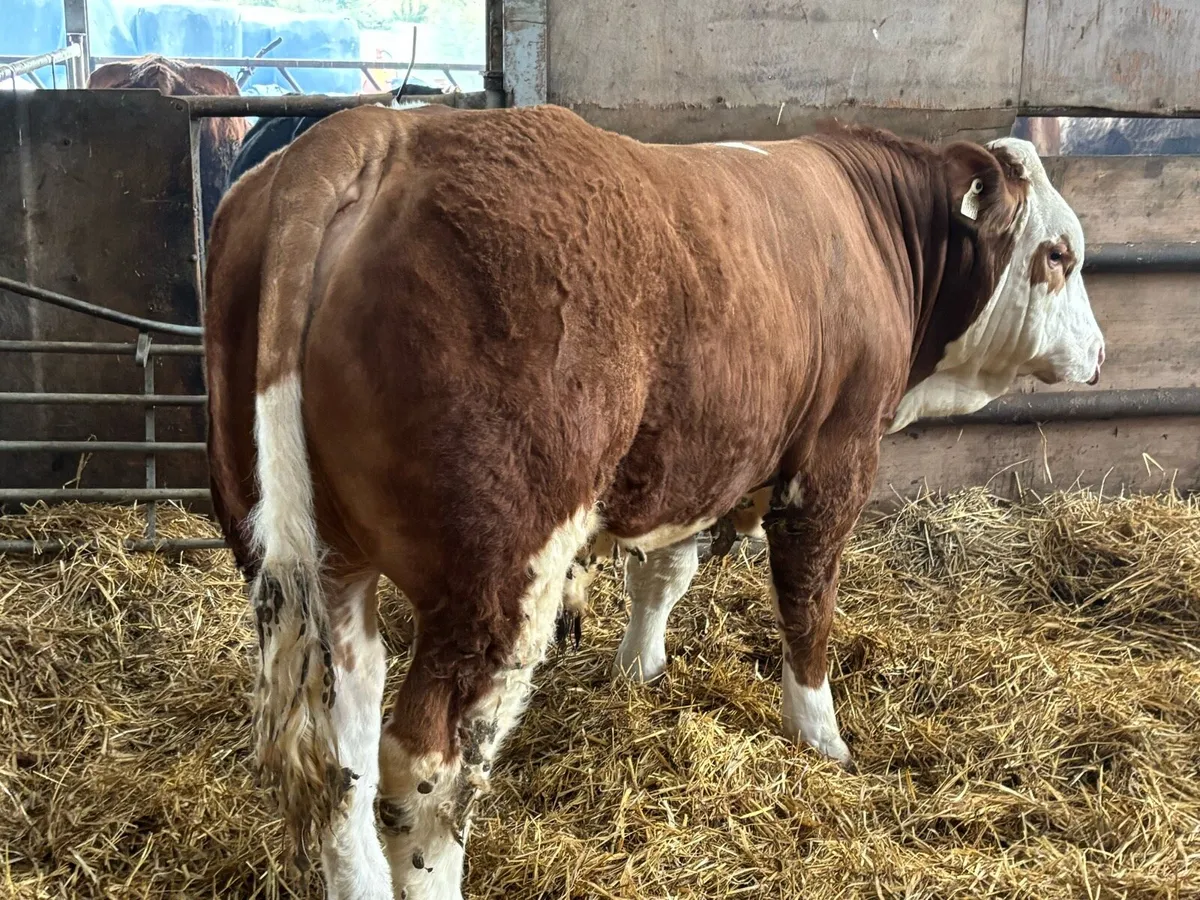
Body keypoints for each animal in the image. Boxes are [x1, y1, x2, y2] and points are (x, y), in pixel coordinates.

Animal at [204, 104, 1104, 900]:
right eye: (1059, 254)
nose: (1099, 355)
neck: (870, 226)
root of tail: (380, 129)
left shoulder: (704, 460)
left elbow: (664, 574)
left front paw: (639, 668)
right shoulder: (836, 459)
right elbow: (808, 603)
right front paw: (822, 736)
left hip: (320, 565)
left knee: (342, 752)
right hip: (493, 583)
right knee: (426, 772)